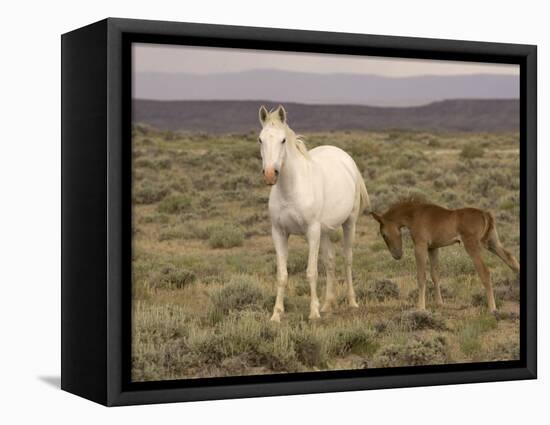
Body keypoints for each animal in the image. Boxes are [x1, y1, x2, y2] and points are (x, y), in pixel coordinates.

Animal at [260, 106, 374, 322]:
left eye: (283, 140)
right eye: (260, 139)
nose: (270, 174)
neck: (291, 189)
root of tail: (346, 158)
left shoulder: (311, 232)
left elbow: (311, 272)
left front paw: (313, 313)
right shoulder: (278, 232)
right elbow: (282, 275)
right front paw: (276, 314)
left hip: (349, 223)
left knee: (347, 259)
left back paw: (352, 301)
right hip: (325, 232)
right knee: (330, 261)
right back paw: (328, 304)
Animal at [370, 199, 520, 312]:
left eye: (384, 234)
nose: (397, 255)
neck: (415, 214)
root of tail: (485, 214)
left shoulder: (420, 246)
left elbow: (421, 276)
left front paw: (420, 307)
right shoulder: (433, 248)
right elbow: (435, 275)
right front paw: (439, 303)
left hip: (472, 246)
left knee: (485, 272)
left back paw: (492, 308)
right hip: (492, 243)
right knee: (512, 261)